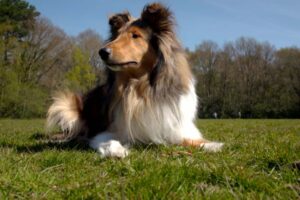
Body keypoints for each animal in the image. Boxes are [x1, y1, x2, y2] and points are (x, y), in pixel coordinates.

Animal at [47, 2, 223, 157]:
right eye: (117, 36)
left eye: (135, 36)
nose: (102, 52)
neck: (141, 87)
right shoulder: (105, 130)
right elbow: (107, 140)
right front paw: (117, 150)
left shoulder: (174, 128)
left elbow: (190, 139)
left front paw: (211, 145)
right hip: (67, 106)